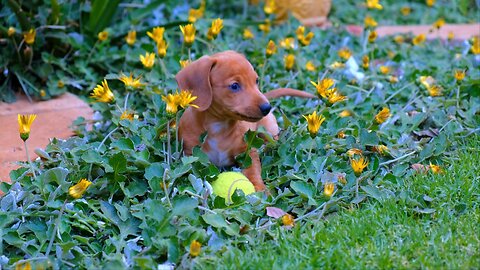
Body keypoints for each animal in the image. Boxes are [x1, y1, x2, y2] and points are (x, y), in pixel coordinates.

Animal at [176, 50, 316, 190]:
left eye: (256, 80)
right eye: (234, 86)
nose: (267, 107)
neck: (219, 127)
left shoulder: (248, 152)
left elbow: (253, 170)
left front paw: (259, 188)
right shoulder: (191, 155)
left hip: (269, 130)